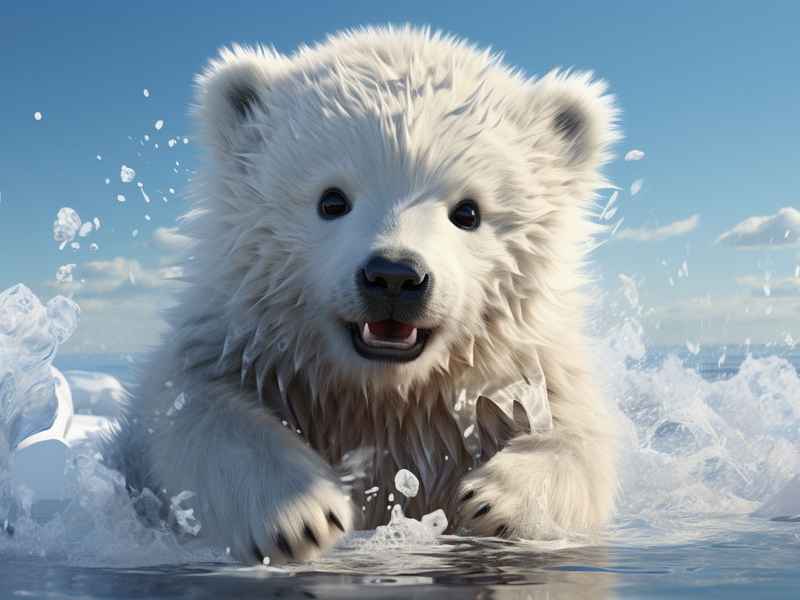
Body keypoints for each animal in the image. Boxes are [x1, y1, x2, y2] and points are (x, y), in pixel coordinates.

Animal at [107, 25, 619, 564]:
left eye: (468, 211)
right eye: (331, 200)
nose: (394, 276)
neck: (383, 399)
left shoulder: (518, 369)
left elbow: (580, 431)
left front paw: (498, 501)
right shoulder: (245, 343)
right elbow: (192, 407)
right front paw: (301, 514)